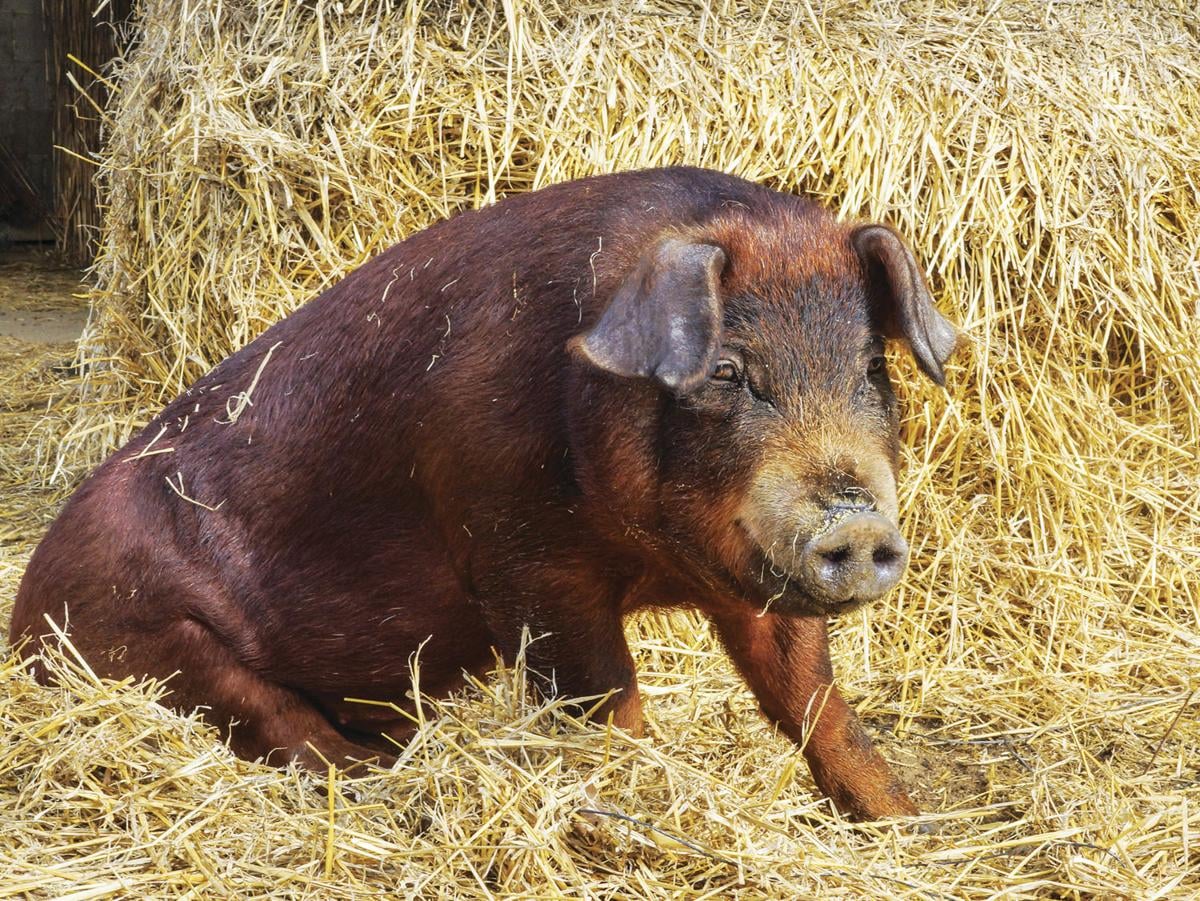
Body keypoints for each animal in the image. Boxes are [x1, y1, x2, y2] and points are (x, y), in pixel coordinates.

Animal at [10, 167, 959, 822]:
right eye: (727, 372)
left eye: (872, 369)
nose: (857, 522)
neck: (654, 563)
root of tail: (22, 615)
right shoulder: (524, 560)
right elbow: (605, 702)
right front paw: (639, 810)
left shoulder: (755, 581)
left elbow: (816, 703)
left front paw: (907, 822)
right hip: (163, 639)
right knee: (290, 735)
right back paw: (382, 785)